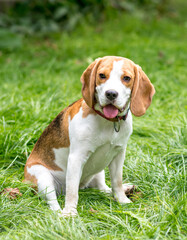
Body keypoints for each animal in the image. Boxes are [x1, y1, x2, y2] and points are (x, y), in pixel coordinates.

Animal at [24, 55, 155, 216]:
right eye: (102, 75)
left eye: (126, 78)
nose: (111, 94)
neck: (109, 122)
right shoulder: (76, 158)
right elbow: (72, 191)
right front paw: (70, 212)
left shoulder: (119, 154)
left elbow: (116, 181)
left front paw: (123, 200)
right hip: (43, 177)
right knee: (53, 201)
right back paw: (60, 213)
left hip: (98, 171)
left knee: (103, 188)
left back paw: (124, 189)